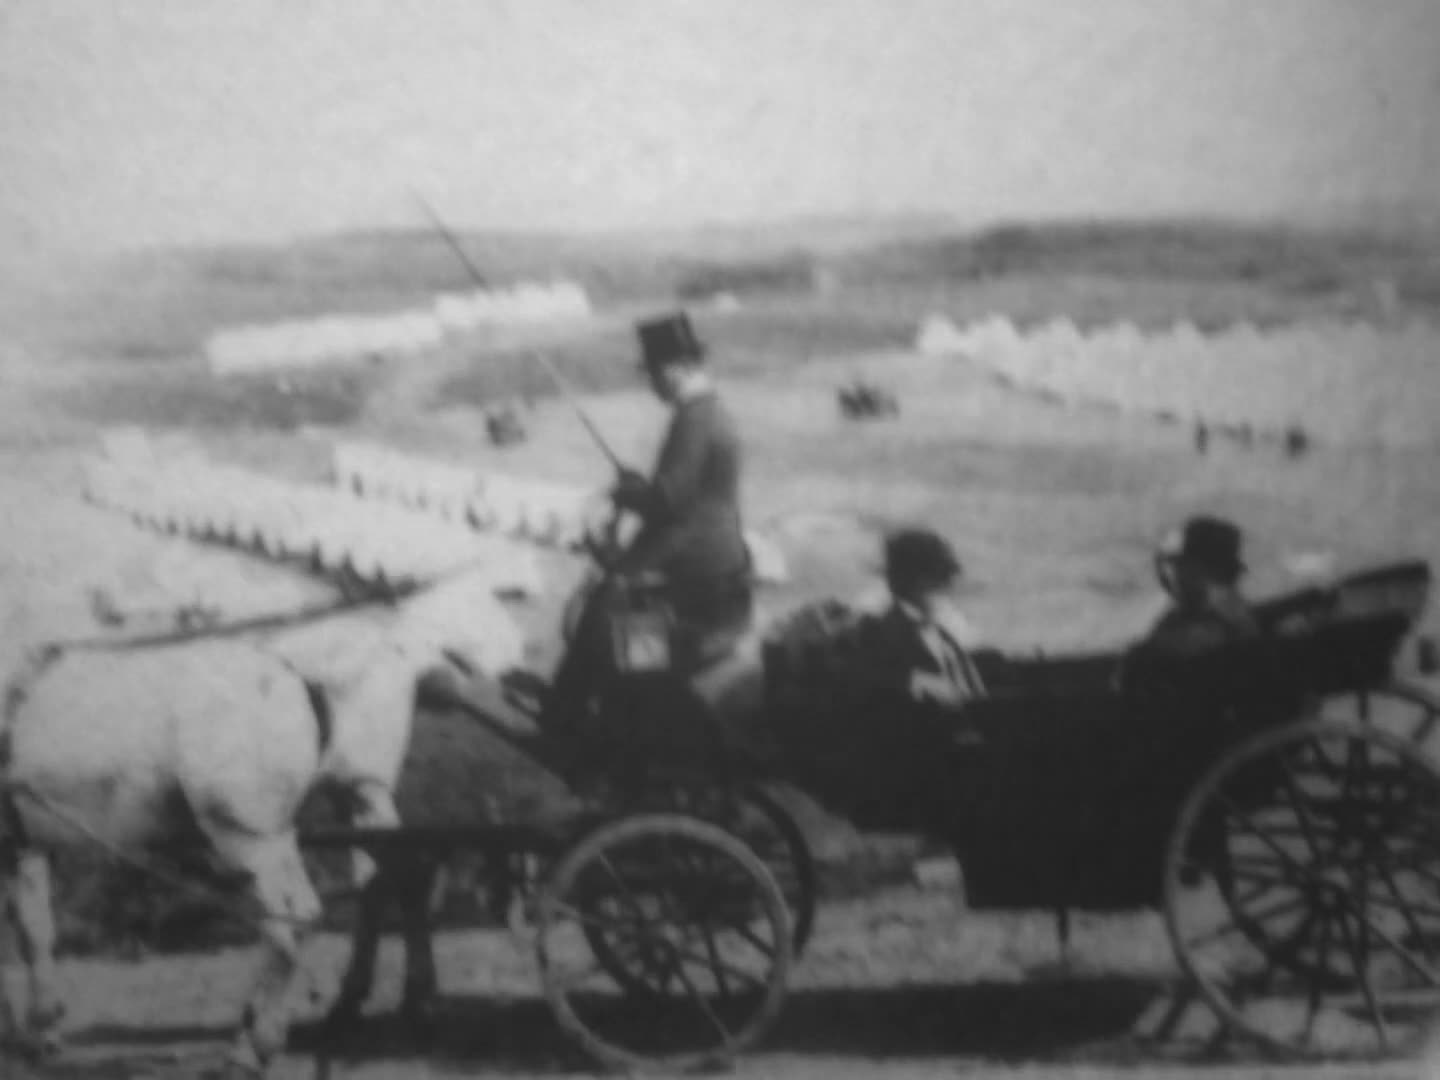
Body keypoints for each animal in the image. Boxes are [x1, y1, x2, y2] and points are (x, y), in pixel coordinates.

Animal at [0, 570, 529, 1077]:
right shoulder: (26, 843)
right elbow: (35, 928)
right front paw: (42, 1031)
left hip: (248, 833)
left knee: (291, 916)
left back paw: (253, 1047)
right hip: (352, 796)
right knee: (398, 877)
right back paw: (409, 1003)